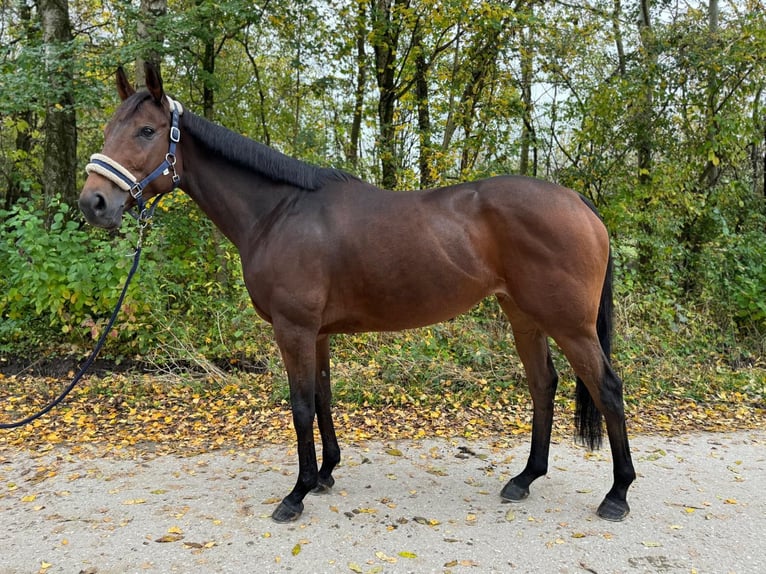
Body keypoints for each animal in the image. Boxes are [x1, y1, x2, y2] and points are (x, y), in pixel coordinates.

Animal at [81, 65, 640, 524]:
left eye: (147, 131)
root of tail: (579, 203)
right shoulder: (317, 333)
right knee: (543, 385)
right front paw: (325, 474)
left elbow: (300, 404)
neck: (277, 213)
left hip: (570, 325)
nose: (94, 203)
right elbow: (323, 397)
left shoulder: (294, 329)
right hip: (524, 315)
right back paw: (524, 479)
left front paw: (296, 494)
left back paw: (617, 494)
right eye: (109, 129)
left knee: (607, 389)